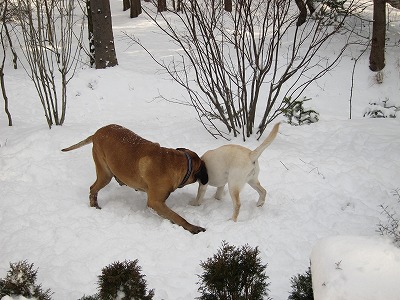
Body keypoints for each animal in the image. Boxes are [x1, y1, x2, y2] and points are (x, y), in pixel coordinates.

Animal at [61, 124, 209, 234]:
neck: (178, 163)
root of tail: (97, 133)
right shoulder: (155, 202)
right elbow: (177, 216)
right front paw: (193, 227)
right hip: (105, 174)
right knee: (93, 188)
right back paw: (94, 205)